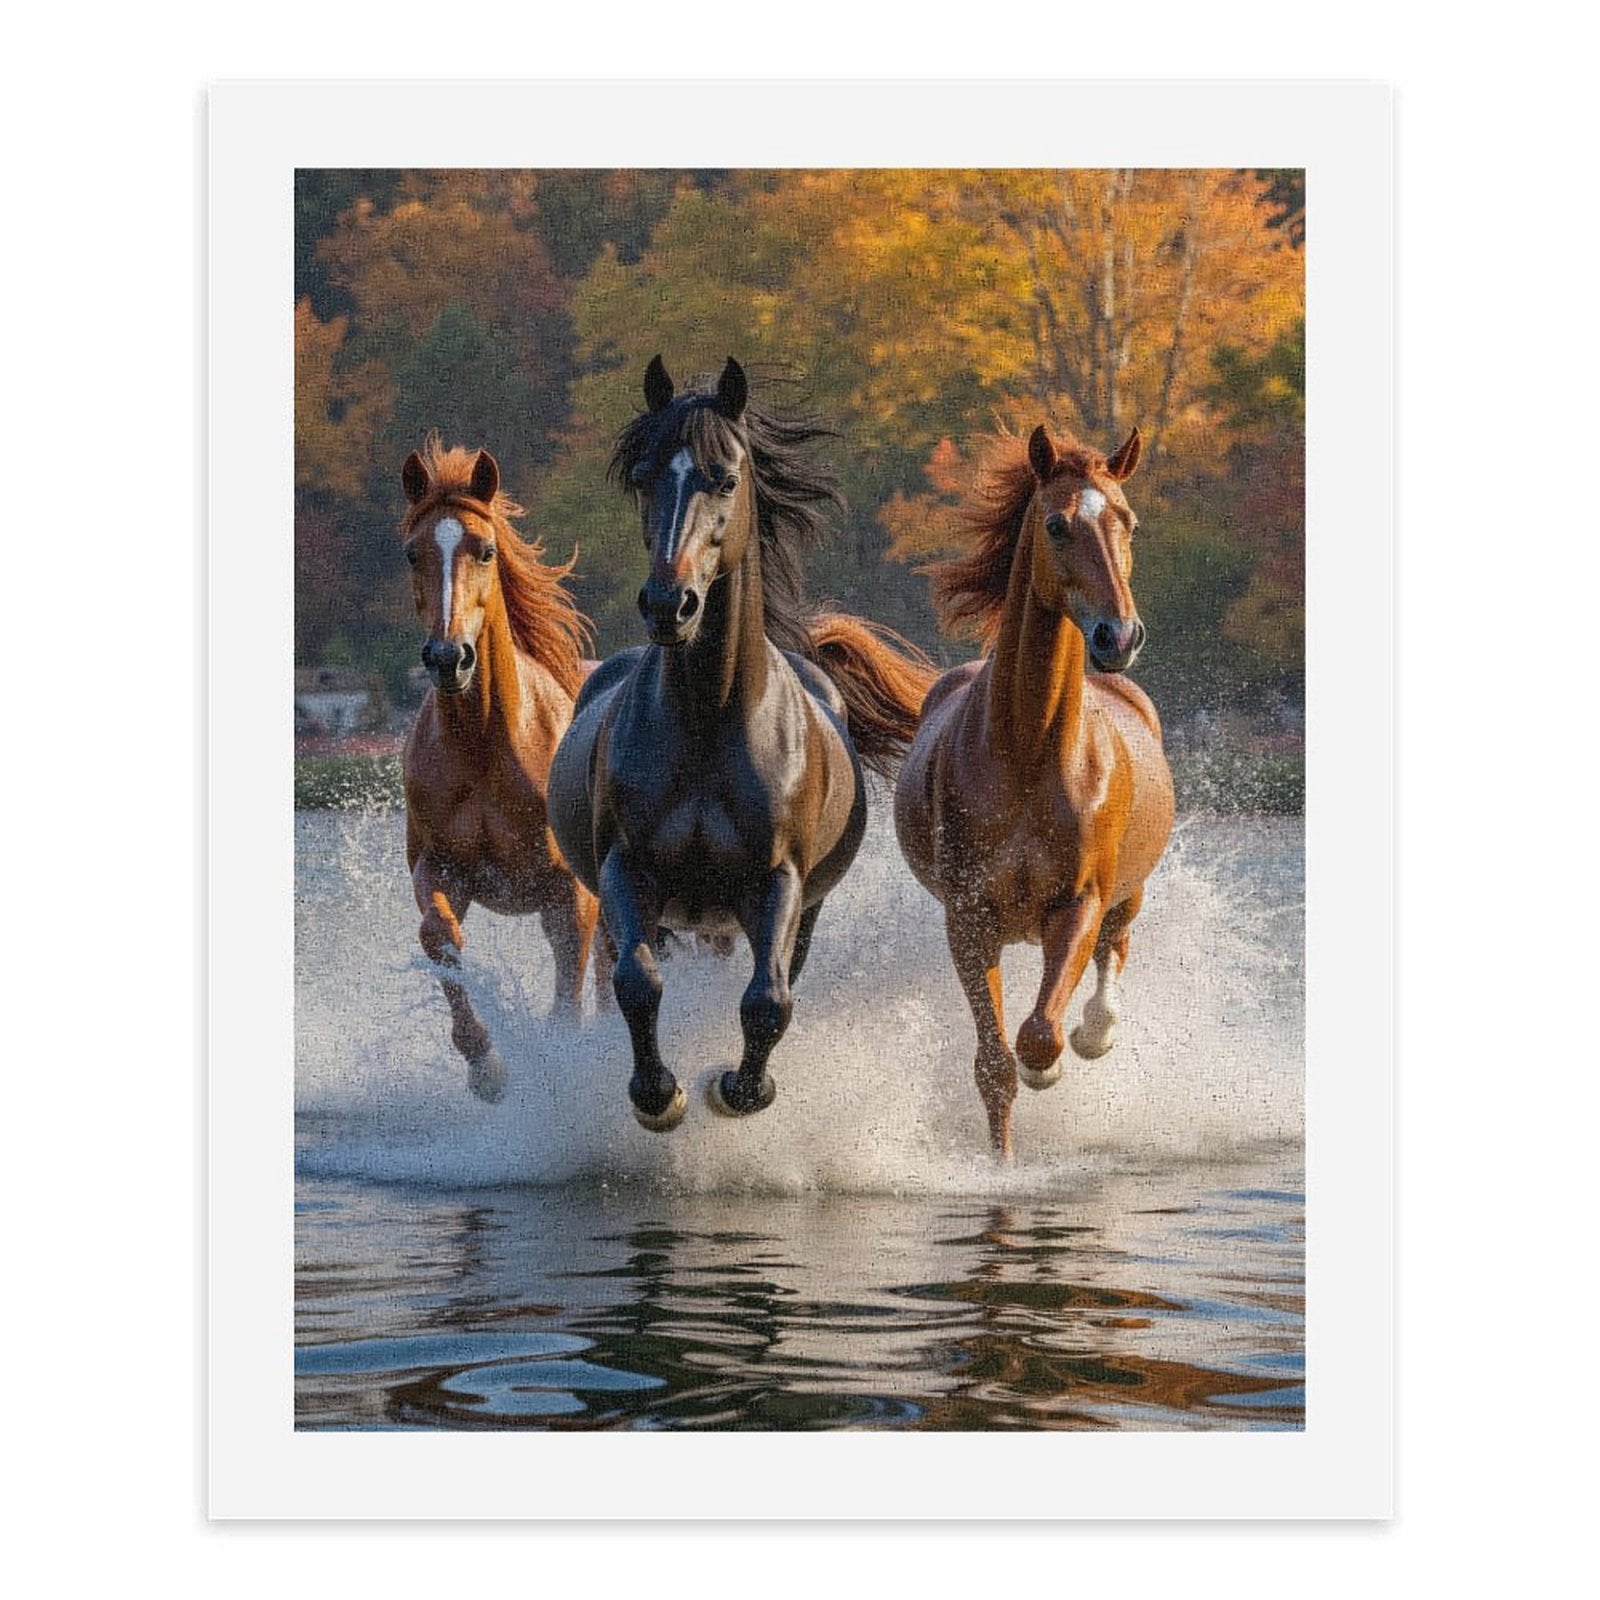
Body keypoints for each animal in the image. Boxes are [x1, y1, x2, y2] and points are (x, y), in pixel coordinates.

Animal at [398, 435, 603, 1103]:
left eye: (484, 550)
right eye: (412, 552)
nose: (448, 657)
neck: (486, 742)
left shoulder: (571, 892)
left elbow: (569, 999)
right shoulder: (442, 867)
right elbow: (439, 937)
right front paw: (485, 1065)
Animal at [548, 356, 937, 1131]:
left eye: (725, 477)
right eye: (643, 474)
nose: (669, 606)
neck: (710, 717)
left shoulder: (776, 882)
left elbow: (767, 1001)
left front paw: (737, 1090)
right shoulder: (626, 869)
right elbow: (637, 981)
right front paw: (658, 1096)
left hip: (778, 914)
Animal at [893, 423, 1175, 1159]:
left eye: (1129, 521)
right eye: (1056, 524)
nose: (1118, 635)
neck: (1027, 750)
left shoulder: (1077, 903)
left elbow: (1040, 1033)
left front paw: (1055, 1060)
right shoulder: (968, 916)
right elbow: (994, 1063)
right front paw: (1001, 1161)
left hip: (1128, 891)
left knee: (1115, 949)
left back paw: (1097, 1031)